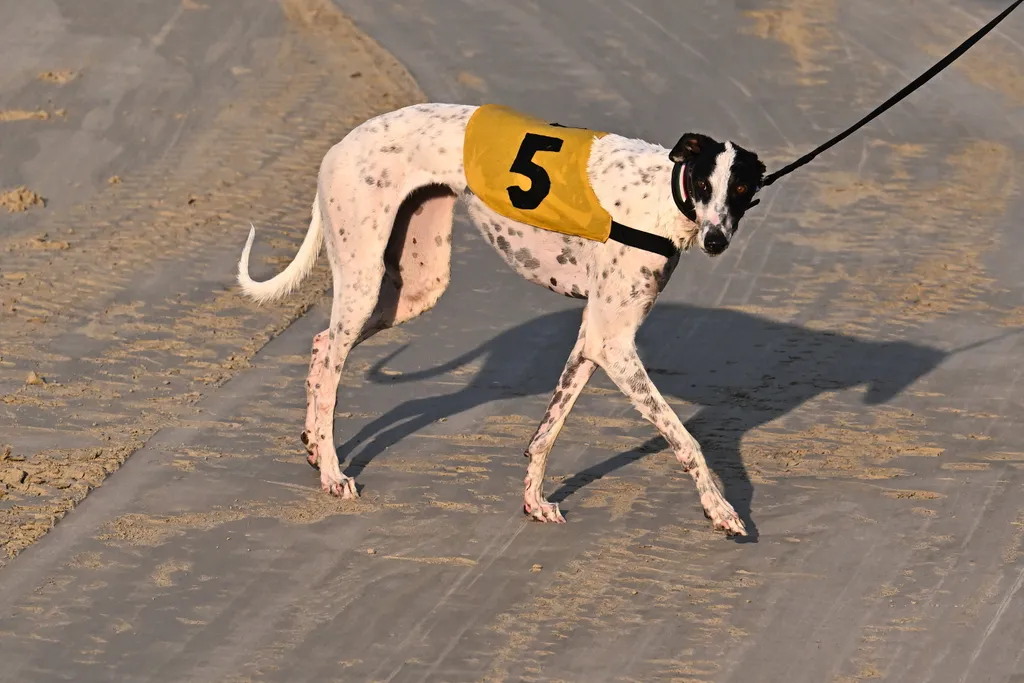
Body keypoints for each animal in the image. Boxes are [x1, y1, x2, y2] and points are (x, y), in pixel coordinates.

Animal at [237, 102, 770, 540]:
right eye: (703, 185)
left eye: (741, 188)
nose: (716, 240)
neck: (660, 199)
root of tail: (340, 145)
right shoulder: (615, 344)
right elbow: (685, 438)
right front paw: (721, 510)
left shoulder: (593, 340)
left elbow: (545, 432)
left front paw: (535, 502)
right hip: (363, 278)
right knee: (331, 368)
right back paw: (332, 473)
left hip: (416, 288)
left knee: (322, 343)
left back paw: (313, 446)